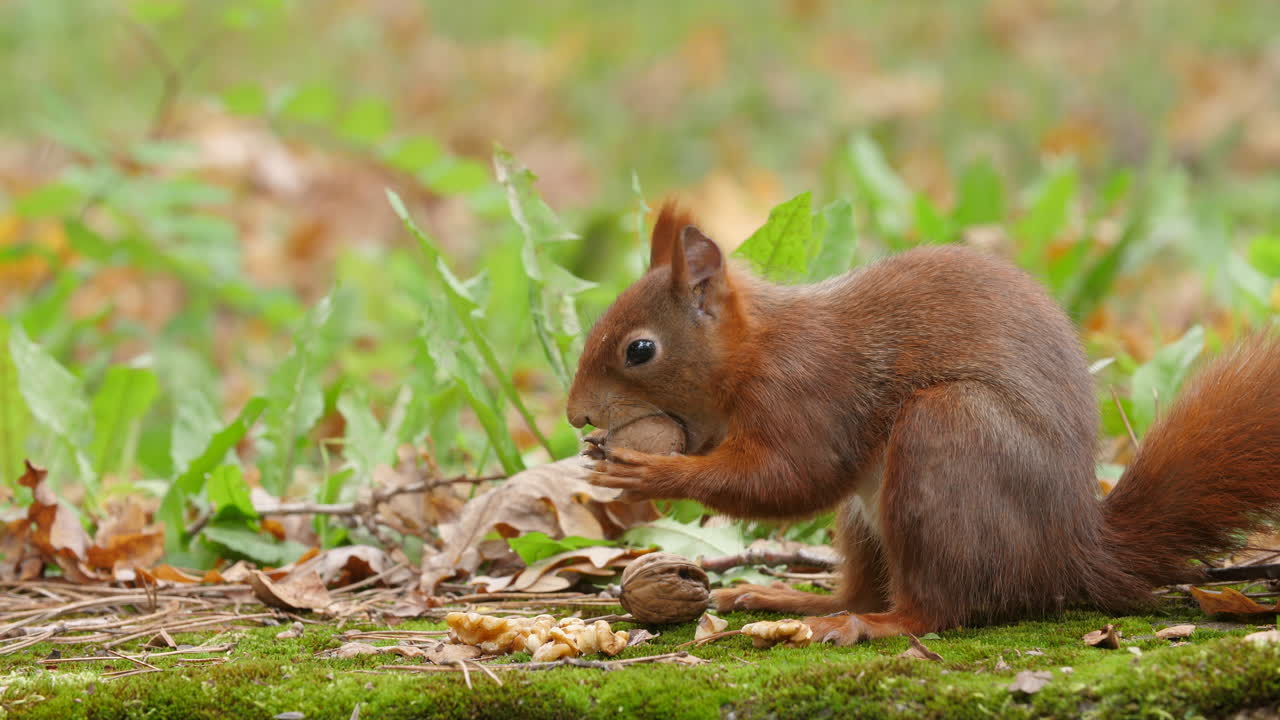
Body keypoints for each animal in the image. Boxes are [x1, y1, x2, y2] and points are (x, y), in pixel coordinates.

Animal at [566, 201, 1280, 644]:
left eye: (639, 349)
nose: (576, 416)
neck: (753, 352)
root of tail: (1071, 550)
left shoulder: (805, 391)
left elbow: (791, 477)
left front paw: (649, 471)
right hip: (866, 517)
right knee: (862, 587)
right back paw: (796, 602)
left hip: (946, 441)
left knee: (936, 608)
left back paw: (870, 626)